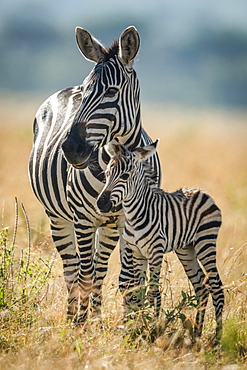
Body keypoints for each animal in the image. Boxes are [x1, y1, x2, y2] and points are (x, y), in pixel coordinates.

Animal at [28, 26, 161, 322]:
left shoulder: (126, 223)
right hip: (58, 218)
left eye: (111, 91)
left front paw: (129, 323)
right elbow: (85, 276)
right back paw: (72, 318)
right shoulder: (83, 220)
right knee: (73, 270)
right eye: (86, 90)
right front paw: (82, 325)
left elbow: (128, 280)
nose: (71, 149)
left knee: (97, 270)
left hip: (105, 226)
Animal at [97, 141, 225, 342]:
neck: (134, 215)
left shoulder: (155, 252)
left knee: (217, 287)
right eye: (107, 174)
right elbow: (137, 291)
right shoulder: (136, 253)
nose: (101, 204)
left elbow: (153, 292)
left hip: (205, 241)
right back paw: (196, 336)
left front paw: (153, 330)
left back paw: (217, 340)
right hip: (186, 250)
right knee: (202, 289)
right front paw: (137, 328)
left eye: (125, 176)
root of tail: (202, 191)